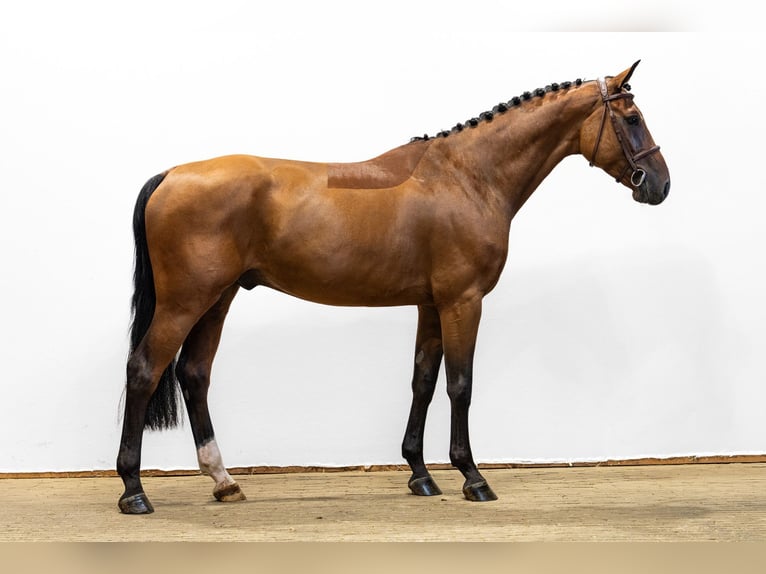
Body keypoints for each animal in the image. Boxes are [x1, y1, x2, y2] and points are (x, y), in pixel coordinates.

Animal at [117, 61, 670, 514]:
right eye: (633, 118)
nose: (660, 184)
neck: (467, 177)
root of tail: (170, 175)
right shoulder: (463, 302)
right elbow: (460, 384)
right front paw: (473, 477)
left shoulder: (431, 304)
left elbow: (422, 380)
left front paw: (421, 474)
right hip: (185, 302)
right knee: (144, 370)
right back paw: (134, 491)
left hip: (218, 298)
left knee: (194, 374)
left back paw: (224, 481)